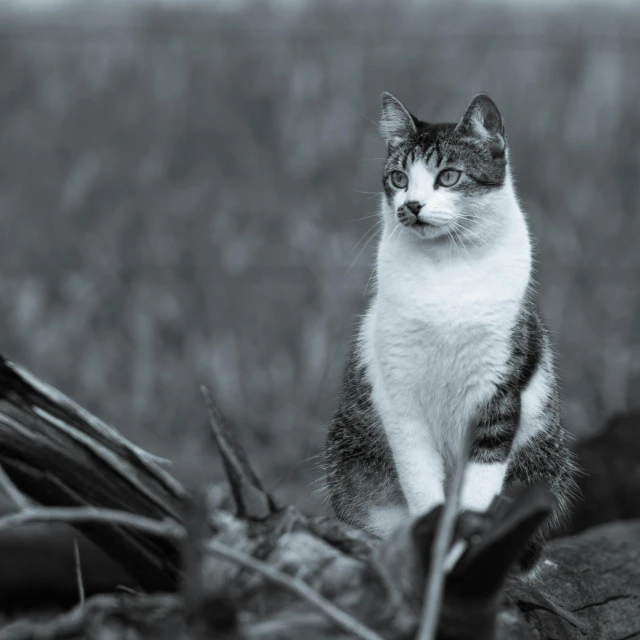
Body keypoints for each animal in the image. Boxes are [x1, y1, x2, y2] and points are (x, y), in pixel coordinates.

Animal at [322, 91, 576, 568]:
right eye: (399, 178)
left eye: (449, 176)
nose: (411, 205)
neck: (446, 270)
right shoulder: (399, 393)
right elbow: (421, 481)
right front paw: (431, 547)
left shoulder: (497, 391)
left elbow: (480, 485)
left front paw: (463, 552)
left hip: (542, 460)